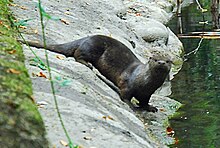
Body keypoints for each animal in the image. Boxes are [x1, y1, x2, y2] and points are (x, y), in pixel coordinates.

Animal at [19, 35, 172, 112]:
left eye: (168, 61)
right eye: (155, 59)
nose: (161, 63)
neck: (145, 83)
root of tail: (85, 38)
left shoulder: (147, 94)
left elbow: (145, 102)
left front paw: (150, 107)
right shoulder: (127, 83)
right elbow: (125, 96)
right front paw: (131, 106)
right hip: (92, 47)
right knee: (77, 54)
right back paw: (88, 64)